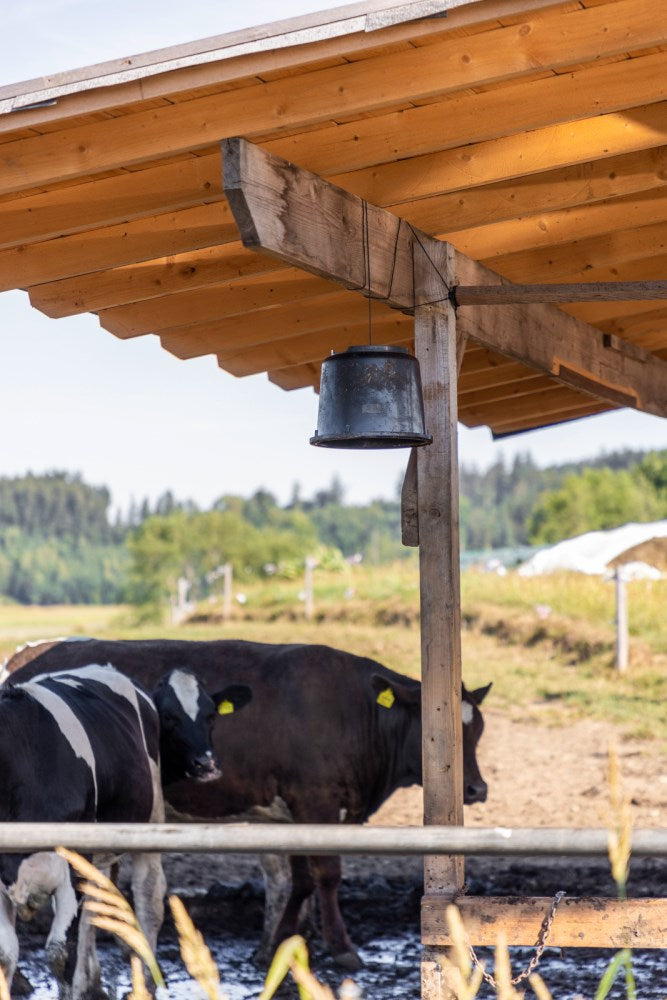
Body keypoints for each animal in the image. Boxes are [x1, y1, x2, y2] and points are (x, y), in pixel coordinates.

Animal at [5, 640, 490, 968]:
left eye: (478, 729)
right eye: (437, 728)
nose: (475, 790)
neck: (352, 710)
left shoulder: (295, 814)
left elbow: (300, 879)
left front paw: (276, 944)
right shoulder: (315, 803)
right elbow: (326, 875)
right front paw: (341, 947)